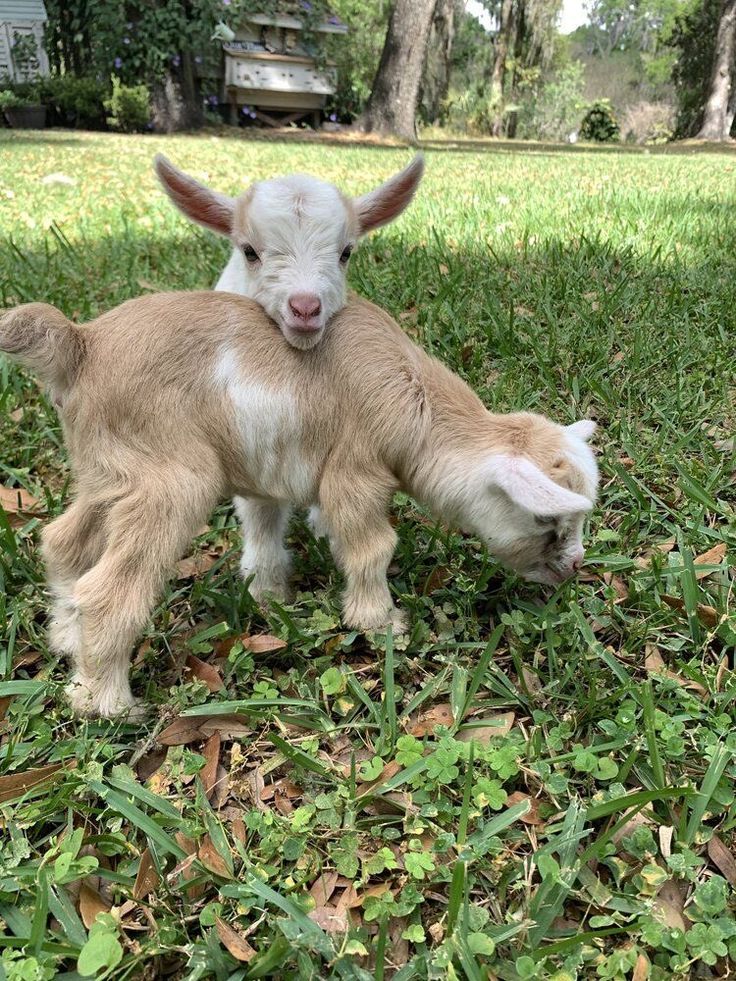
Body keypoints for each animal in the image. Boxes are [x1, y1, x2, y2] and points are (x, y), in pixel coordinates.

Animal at [0, 294, 600, 716]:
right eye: (548, 522)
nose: (574, 567)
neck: (418, 405)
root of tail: (83, 343)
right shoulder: (354, 473)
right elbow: (371, 547)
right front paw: (380, 622)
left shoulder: (266, 476)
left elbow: (265, 533)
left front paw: (269, 597)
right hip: (170, 480)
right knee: (108, 591)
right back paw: (106, 703)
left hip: (106, 474)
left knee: (64, 543)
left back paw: (66, 641)